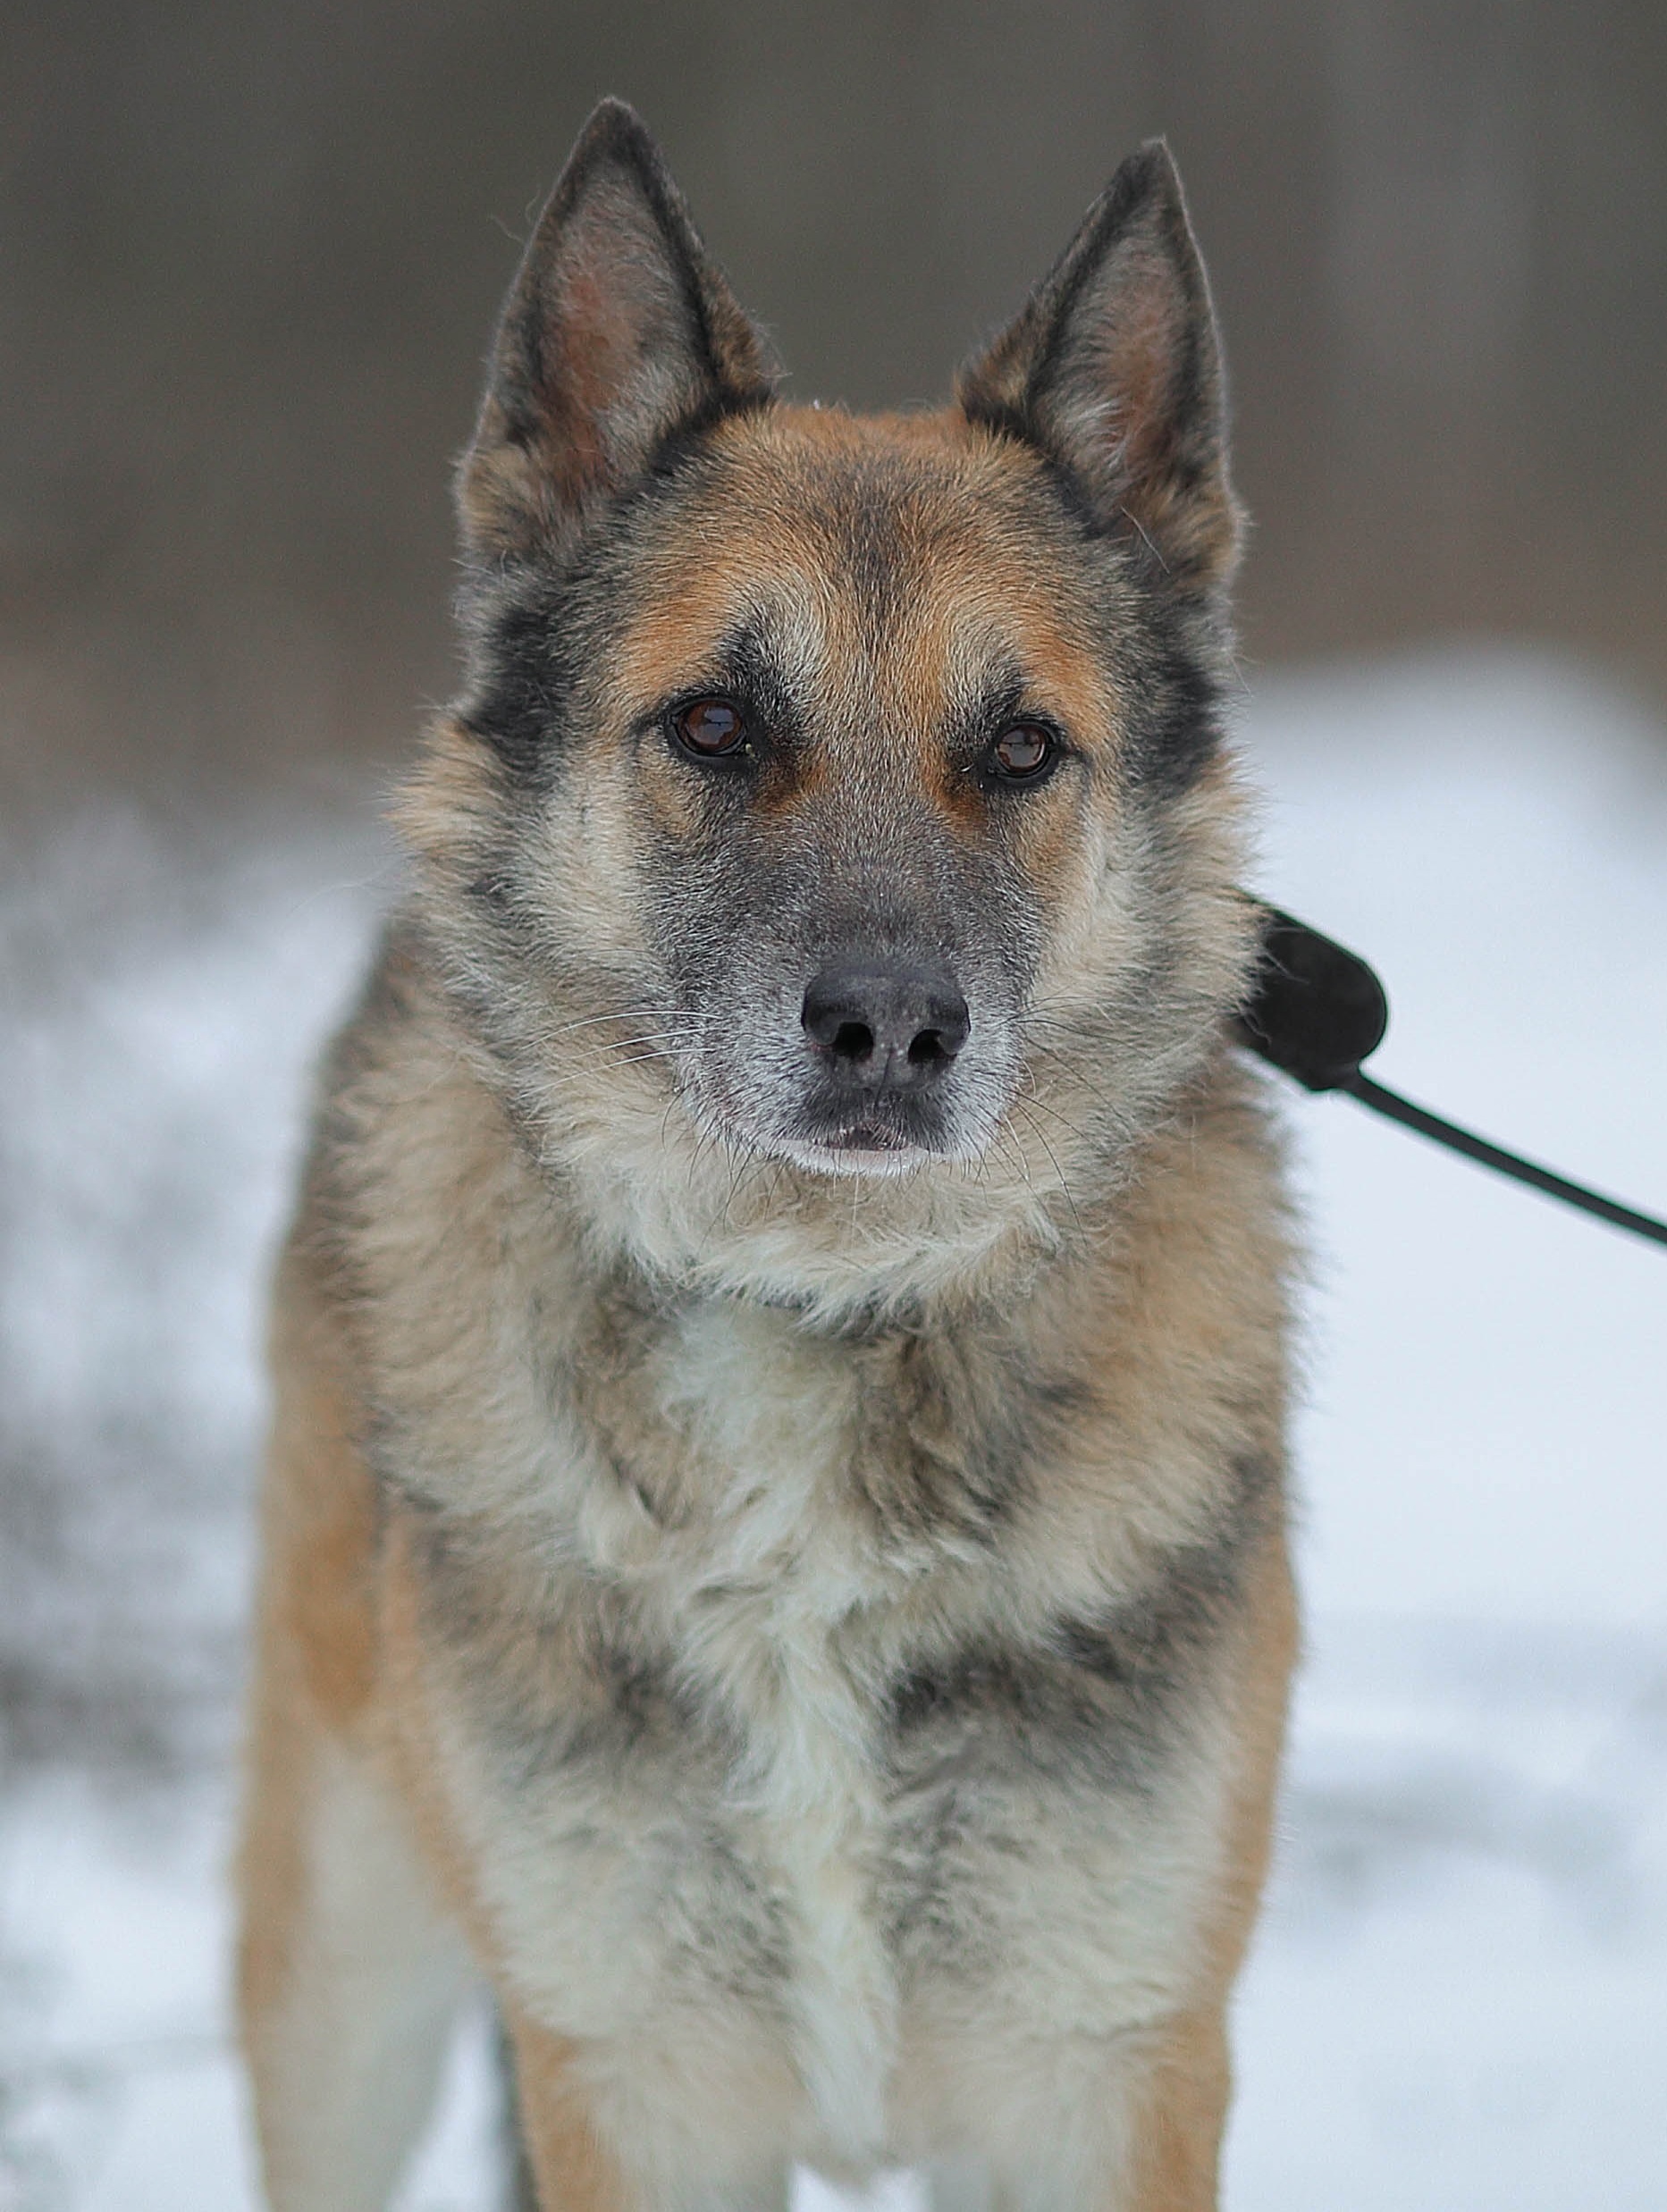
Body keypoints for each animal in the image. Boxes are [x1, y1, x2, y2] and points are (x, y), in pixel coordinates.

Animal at [236, 99, 1300, 2212]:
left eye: (1021, 749)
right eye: (716, 725)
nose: (888, 1028)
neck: (823, 1308)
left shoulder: (1098, 2076)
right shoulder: (631, 2083)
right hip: (342, 1989)